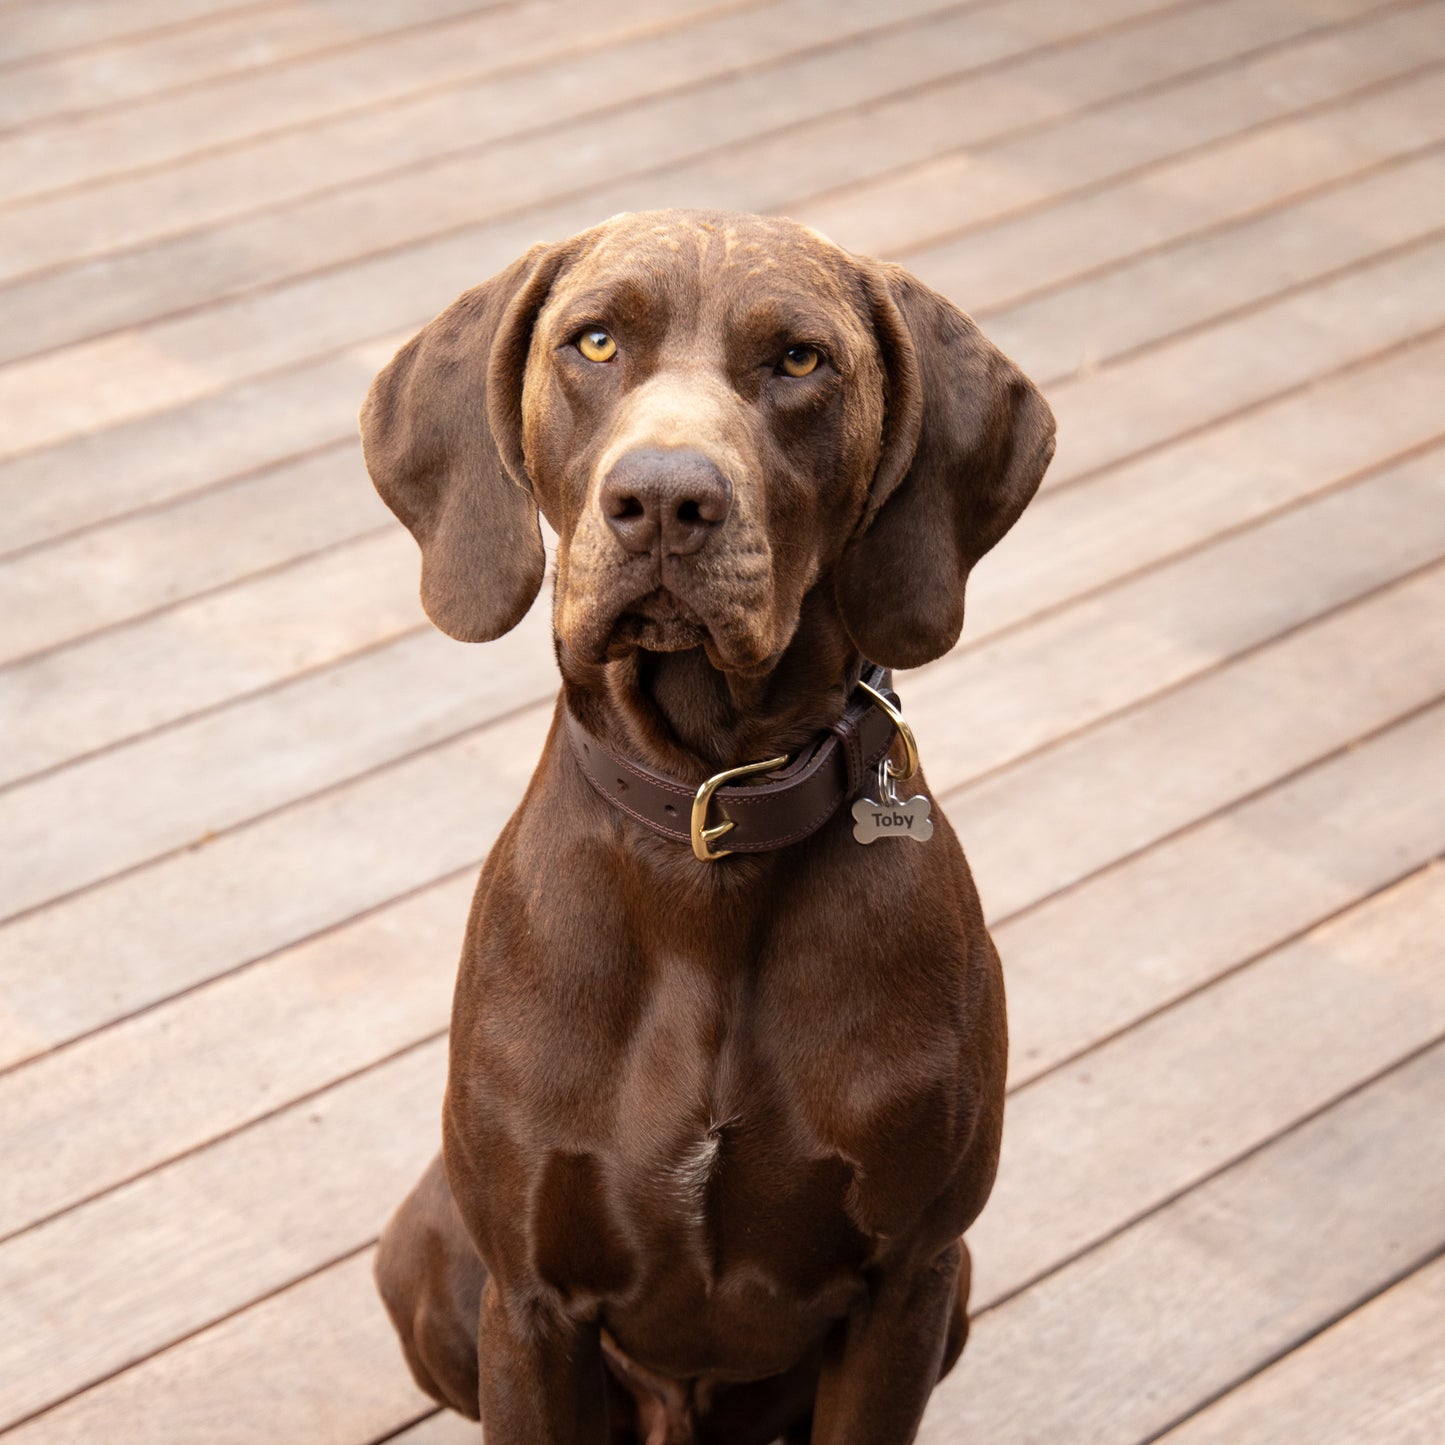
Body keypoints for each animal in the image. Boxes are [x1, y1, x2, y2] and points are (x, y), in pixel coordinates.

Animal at [367, 209, 1057, 1439]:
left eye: (798, 359)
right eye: (594, 342)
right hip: (424, 1250)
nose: (661, 500)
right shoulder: (532, 1303)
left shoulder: (907, 1281)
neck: (709, 819)